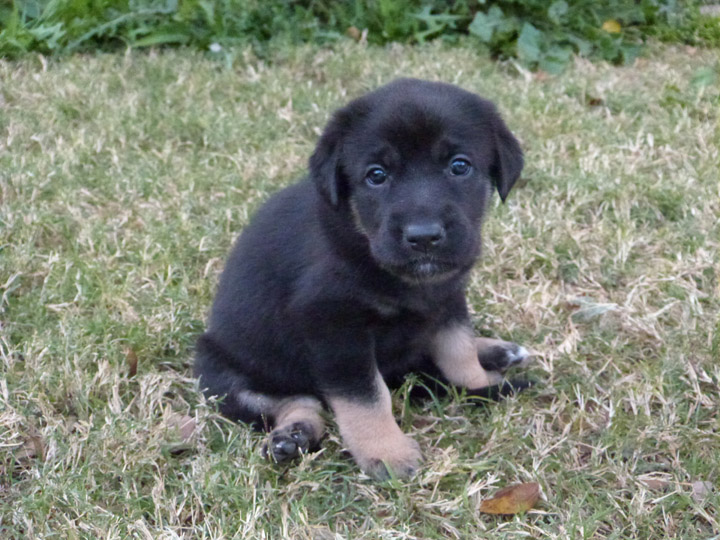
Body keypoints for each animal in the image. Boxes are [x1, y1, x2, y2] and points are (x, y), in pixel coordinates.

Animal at [195, 78, 528, 478]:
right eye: (376, 175)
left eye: (459, 166)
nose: (423, 237)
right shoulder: (334, 326)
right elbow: (366, 397)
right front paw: (386, 453)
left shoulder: (447, 297)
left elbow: (458, 349)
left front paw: (479, 384)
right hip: (220, 371)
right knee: (295, 401)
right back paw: (292, 436)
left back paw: (498, 351)